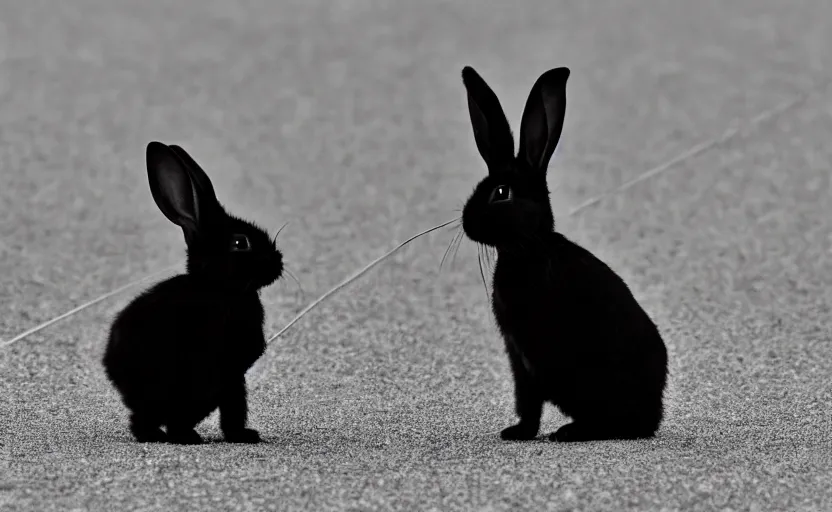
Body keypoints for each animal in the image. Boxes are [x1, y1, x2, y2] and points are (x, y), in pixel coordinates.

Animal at [102, 141, 284, 444]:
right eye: (240, 243)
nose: (278, 261)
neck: (218, 288)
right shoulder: (226, 370)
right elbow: (232, 407)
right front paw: (241, 436)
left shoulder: (234, 375)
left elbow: (234, 406)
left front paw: (241, 434)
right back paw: (176, 436)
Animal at [458, 66, 668, 442]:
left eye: (501, 193)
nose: (466, 221)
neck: (527, 250)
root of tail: (653, 414)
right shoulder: (518, 357)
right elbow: (526, 401)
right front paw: (517, 432)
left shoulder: (533, 352)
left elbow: (531, 400)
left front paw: (521, 434)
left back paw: (571, 431)